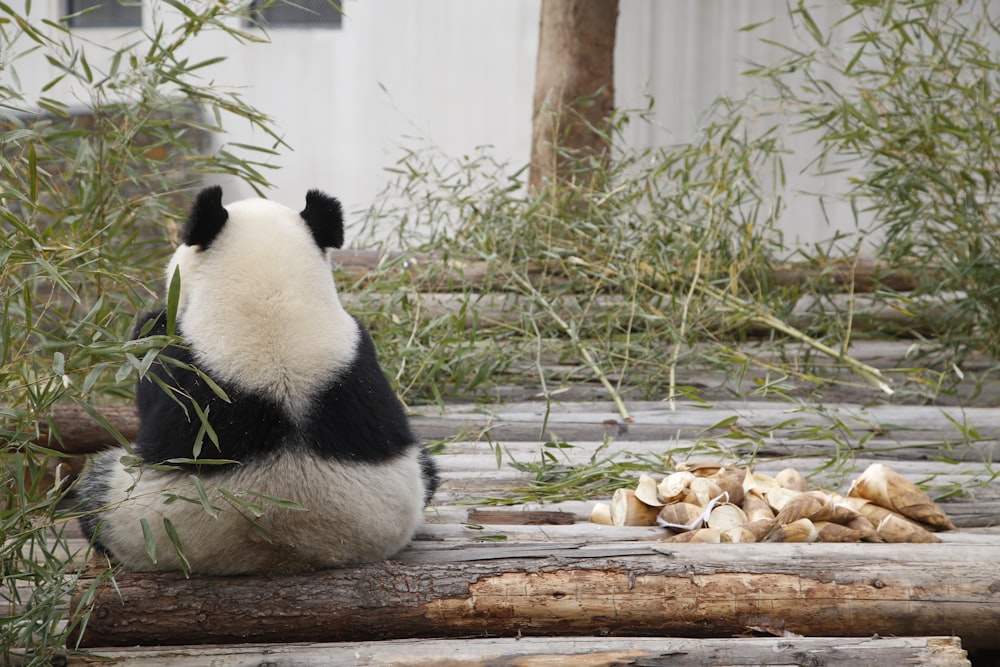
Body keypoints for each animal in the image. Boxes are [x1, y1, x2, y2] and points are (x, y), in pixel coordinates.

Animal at [78, 185, 438, 576]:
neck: (271, 300)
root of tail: (291, 550)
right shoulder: (362, 359)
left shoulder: (175, 362)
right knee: (429, 468)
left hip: (137, 520)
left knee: (94, 491)